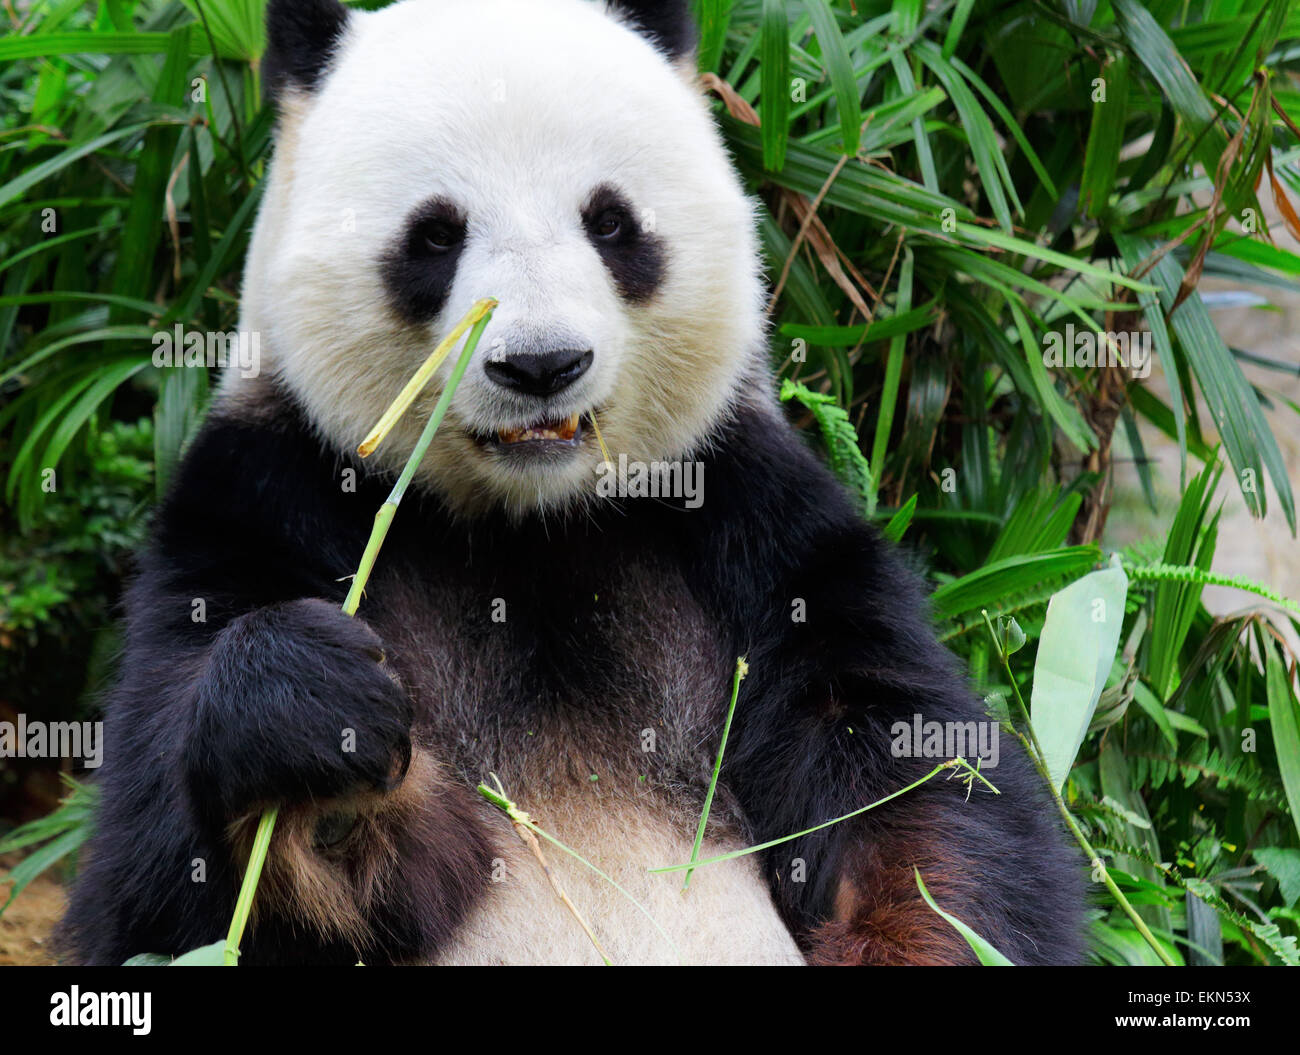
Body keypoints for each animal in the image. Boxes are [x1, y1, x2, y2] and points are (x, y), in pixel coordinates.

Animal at [59, 0, 1083, 966]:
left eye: (610, 222)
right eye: (435, 235)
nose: (542, 364)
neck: (531, 523)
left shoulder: (749, 516)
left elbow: (913, 785)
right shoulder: (266, 493)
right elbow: (165, 885)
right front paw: (318, 744)